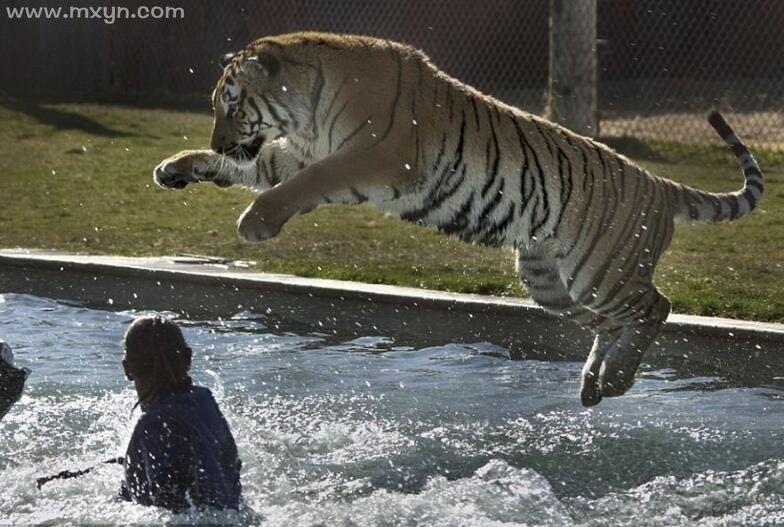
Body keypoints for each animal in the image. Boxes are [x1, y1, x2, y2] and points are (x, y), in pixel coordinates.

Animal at [155, 31, 764, 406]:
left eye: (231, 104)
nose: (220, 138)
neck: (306, 105)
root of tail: (659, 185)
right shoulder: (297, 153)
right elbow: (254, 168)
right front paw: (175, 167)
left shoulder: (365, 157)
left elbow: (295, 187)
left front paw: (254, 222)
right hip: (552, 282)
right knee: (615, 323)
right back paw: (597, 385)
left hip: (600, 269)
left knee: (657, 306)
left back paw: (612, 380)